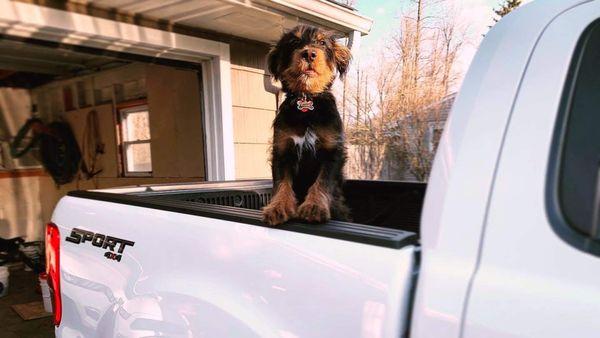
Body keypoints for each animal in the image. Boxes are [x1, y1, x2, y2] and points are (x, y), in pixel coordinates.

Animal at [262, 25, 352, 226]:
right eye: (294, 42)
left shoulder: (332, 150)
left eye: (322, 42)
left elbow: (323, 181)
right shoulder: (282, 150)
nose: (309, 54)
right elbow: (282, 182)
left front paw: (314, 207)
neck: (307, 99)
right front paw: (277, 207)